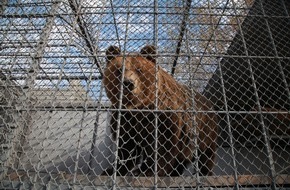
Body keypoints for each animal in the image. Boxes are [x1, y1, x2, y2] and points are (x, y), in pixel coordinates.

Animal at [102, 45, 218, 177]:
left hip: (204, 130)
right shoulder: (124, 119)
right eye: (119, 70)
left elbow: (163, 145)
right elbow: (126, 147)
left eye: (139, 69)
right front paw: (112, 170)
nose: (128, 83)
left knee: (206, 155)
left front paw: (147, 171)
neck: (139, 108)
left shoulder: (166, 116)